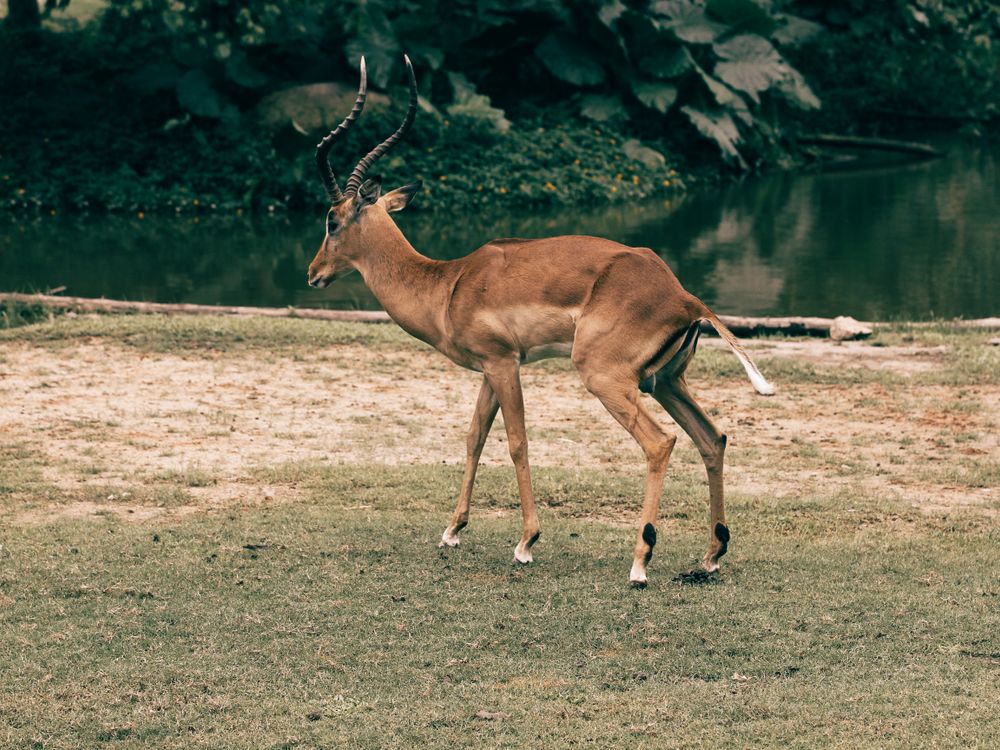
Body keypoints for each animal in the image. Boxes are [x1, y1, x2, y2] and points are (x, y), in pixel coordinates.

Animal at [307, 56, 775, 587]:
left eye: (331, 220)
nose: (313, 273)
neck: (447, 285)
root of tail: (684, 297)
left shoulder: (504, 364)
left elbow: (517, 442)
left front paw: (526, 542)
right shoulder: (491, 369)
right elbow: (473, 437)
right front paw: (452, 531)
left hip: (606, 378)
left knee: (660, 443)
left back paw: (640, 564)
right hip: (665, 382)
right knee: (712, 438)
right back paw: (710, 556)